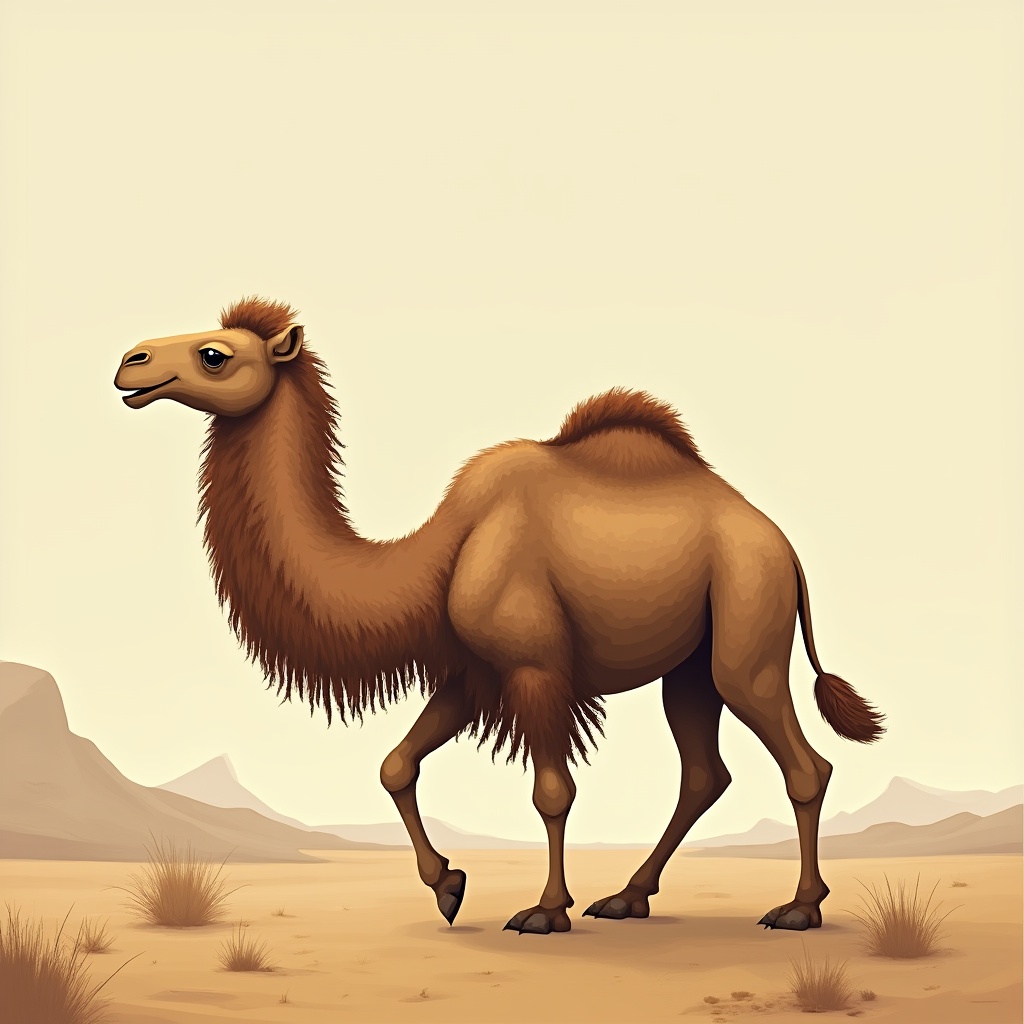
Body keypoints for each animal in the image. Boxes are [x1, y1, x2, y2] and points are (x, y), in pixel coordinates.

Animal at [113, 296, 884, 936]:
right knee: (703, 772)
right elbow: (396, 765)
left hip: (747, 619)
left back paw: (799, 908)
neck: (435, 556)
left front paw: (545, 910)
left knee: (802, 763)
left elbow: (552, 791)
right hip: (691, 663)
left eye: (216, 354)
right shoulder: (468, 672)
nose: (131, 361)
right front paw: (449, 885)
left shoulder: (533, 666)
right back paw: (628, 898)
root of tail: (784, 549)